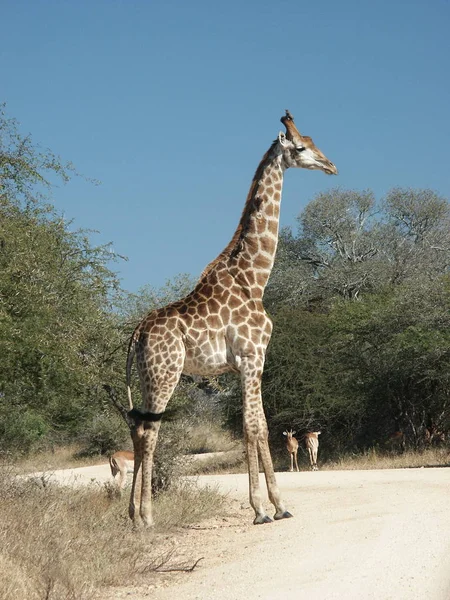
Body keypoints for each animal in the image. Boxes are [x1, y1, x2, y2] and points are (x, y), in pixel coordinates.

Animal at [125, 110, 336, 528]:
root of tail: (137, 334)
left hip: (146, 377)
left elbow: (257, 427)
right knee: (149, 431)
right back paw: (147, 517)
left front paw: (275, 506)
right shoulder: (254, 357)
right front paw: (265, 508)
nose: (331, 165)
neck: (254, 278)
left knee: (138, 429)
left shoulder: (245, 364)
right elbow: (255, 427)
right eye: (301, 147)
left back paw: (131, 516)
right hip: (165, 374)